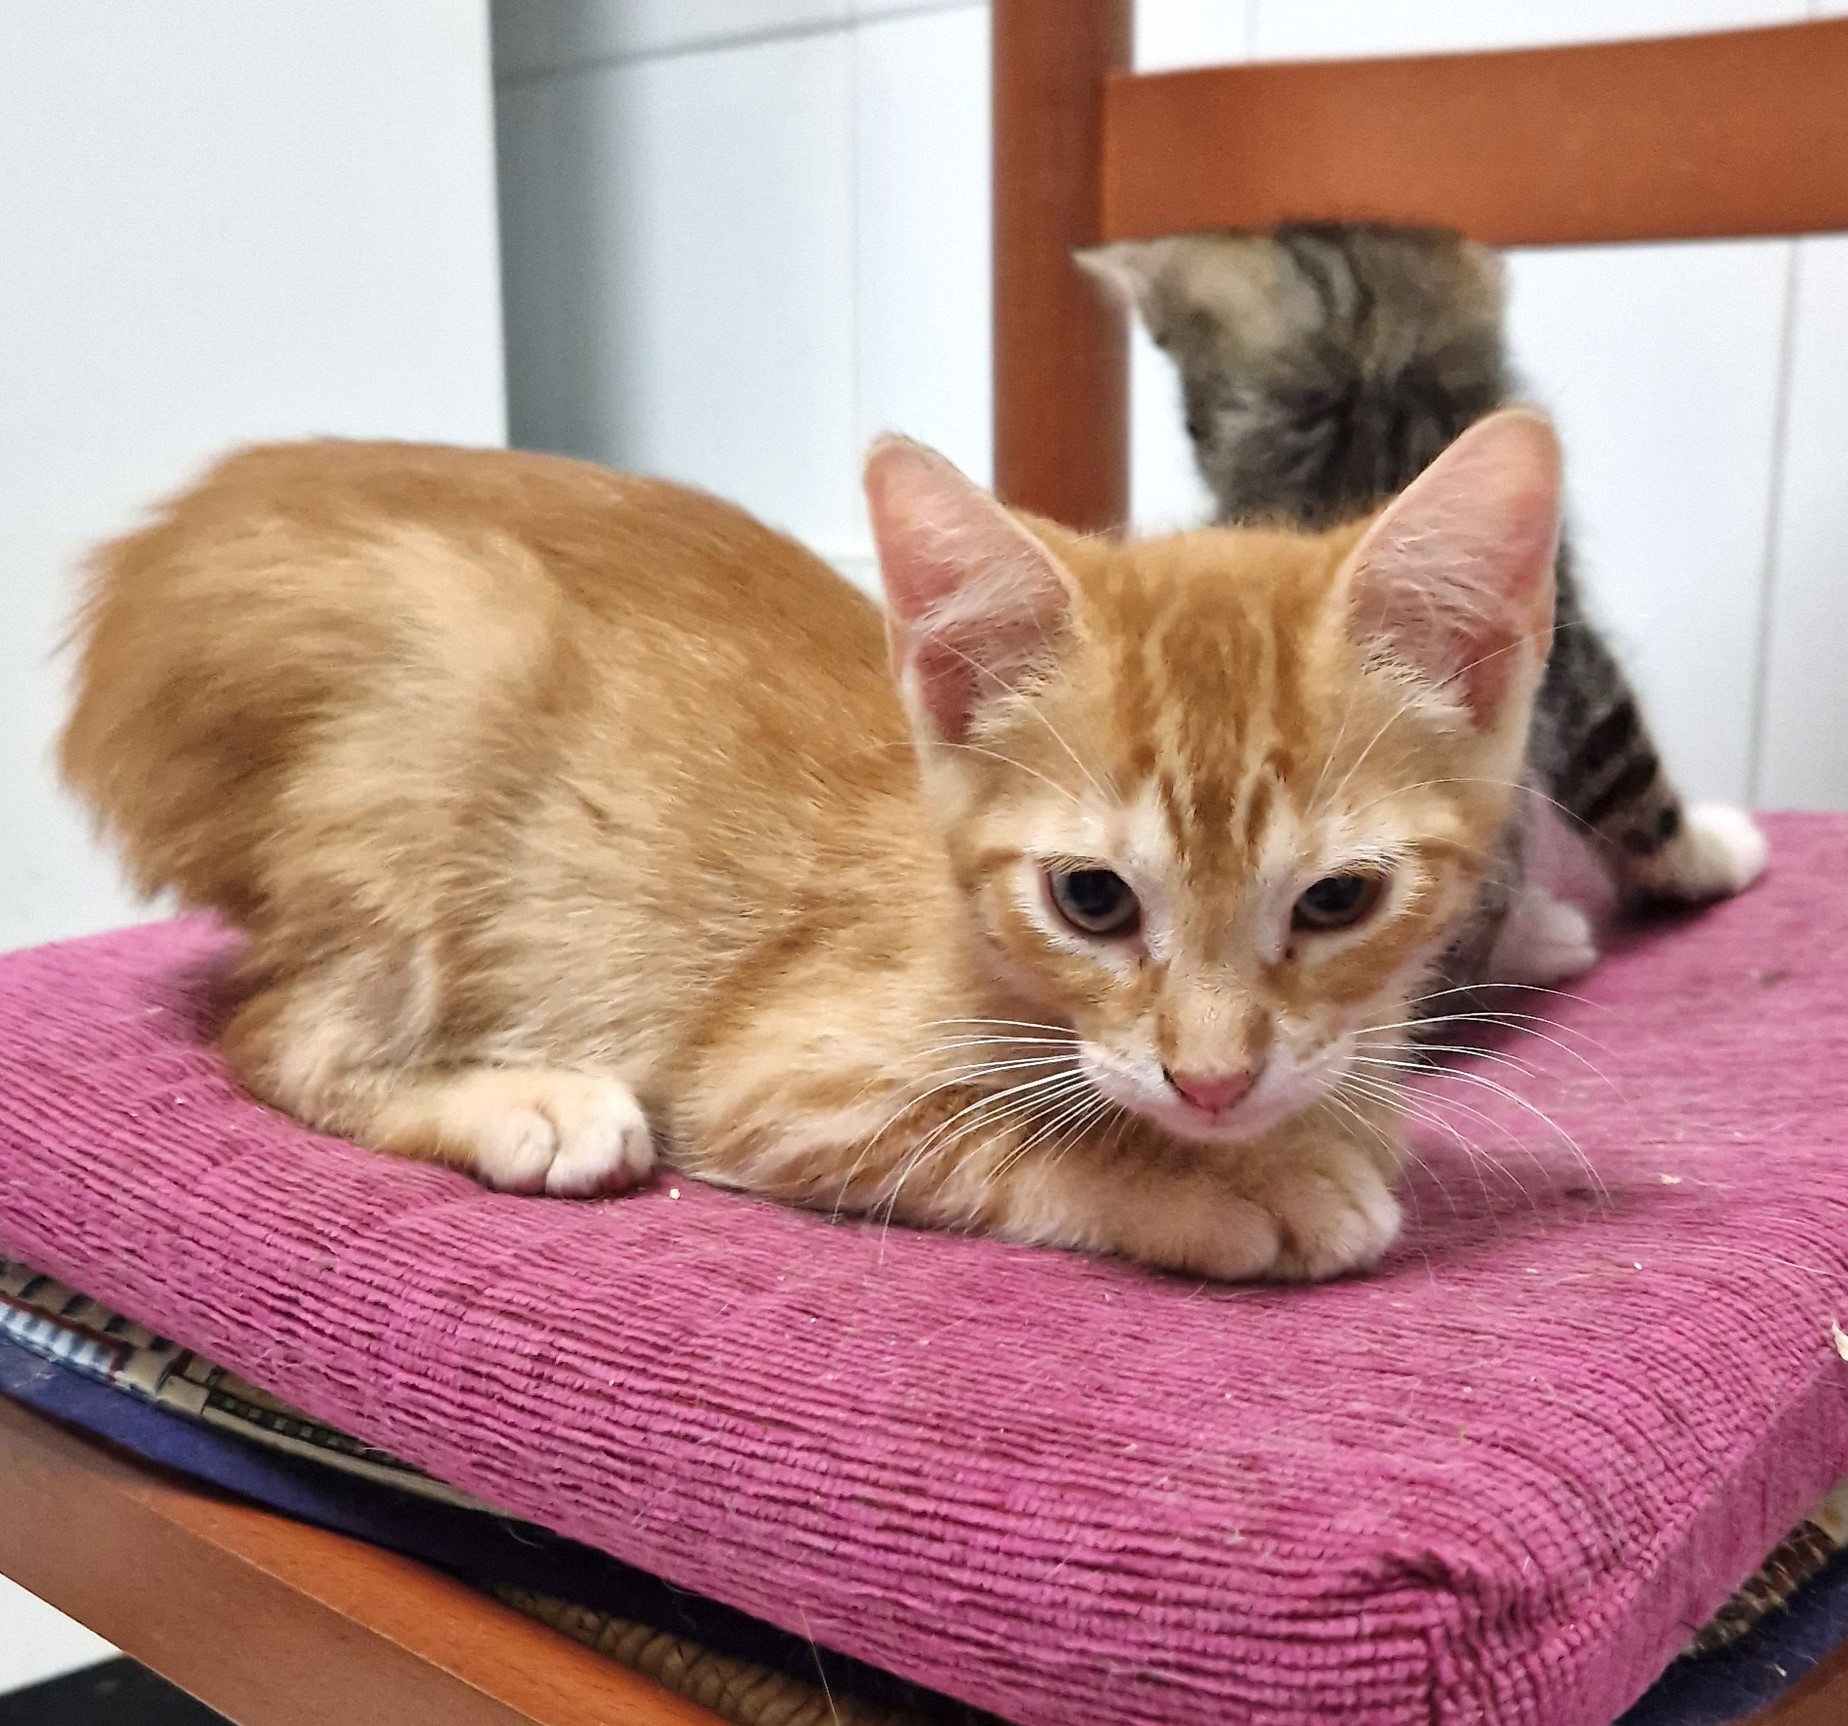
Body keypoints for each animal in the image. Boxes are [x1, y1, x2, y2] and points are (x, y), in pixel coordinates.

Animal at [65, 414, 1562, 1281]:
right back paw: (525, 1102)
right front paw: (1234, 1178)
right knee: (272, 1033)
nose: (1211, 1082)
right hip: (444, 696)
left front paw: (1311, 1123)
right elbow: (1011, 1138)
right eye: (1089, 898)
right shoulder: (779, 1082)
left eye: (1339, 899)